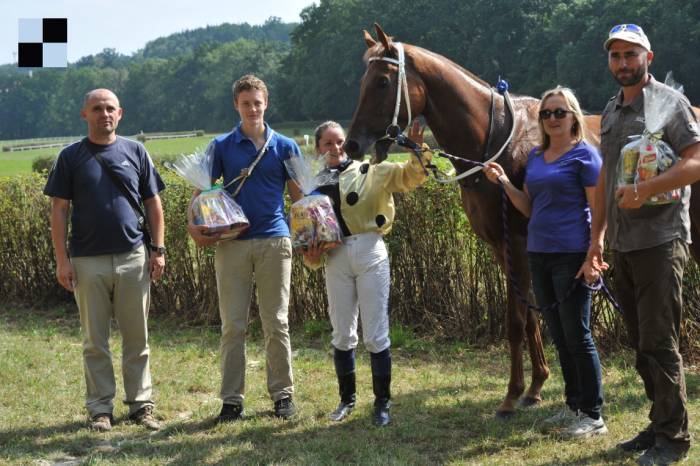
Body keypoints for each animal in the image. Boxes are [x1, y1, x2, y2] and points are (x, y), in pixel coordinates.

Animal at [346, 24, 700, 418]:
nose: (351, 144)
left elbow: (515, 322)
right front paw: (535, 385)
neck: (497, 140)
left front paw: (512, 393)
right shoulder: (504, 247)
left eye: (382, 81)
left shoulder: (516, 241)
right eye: (363, 81)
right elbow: (530, 315)